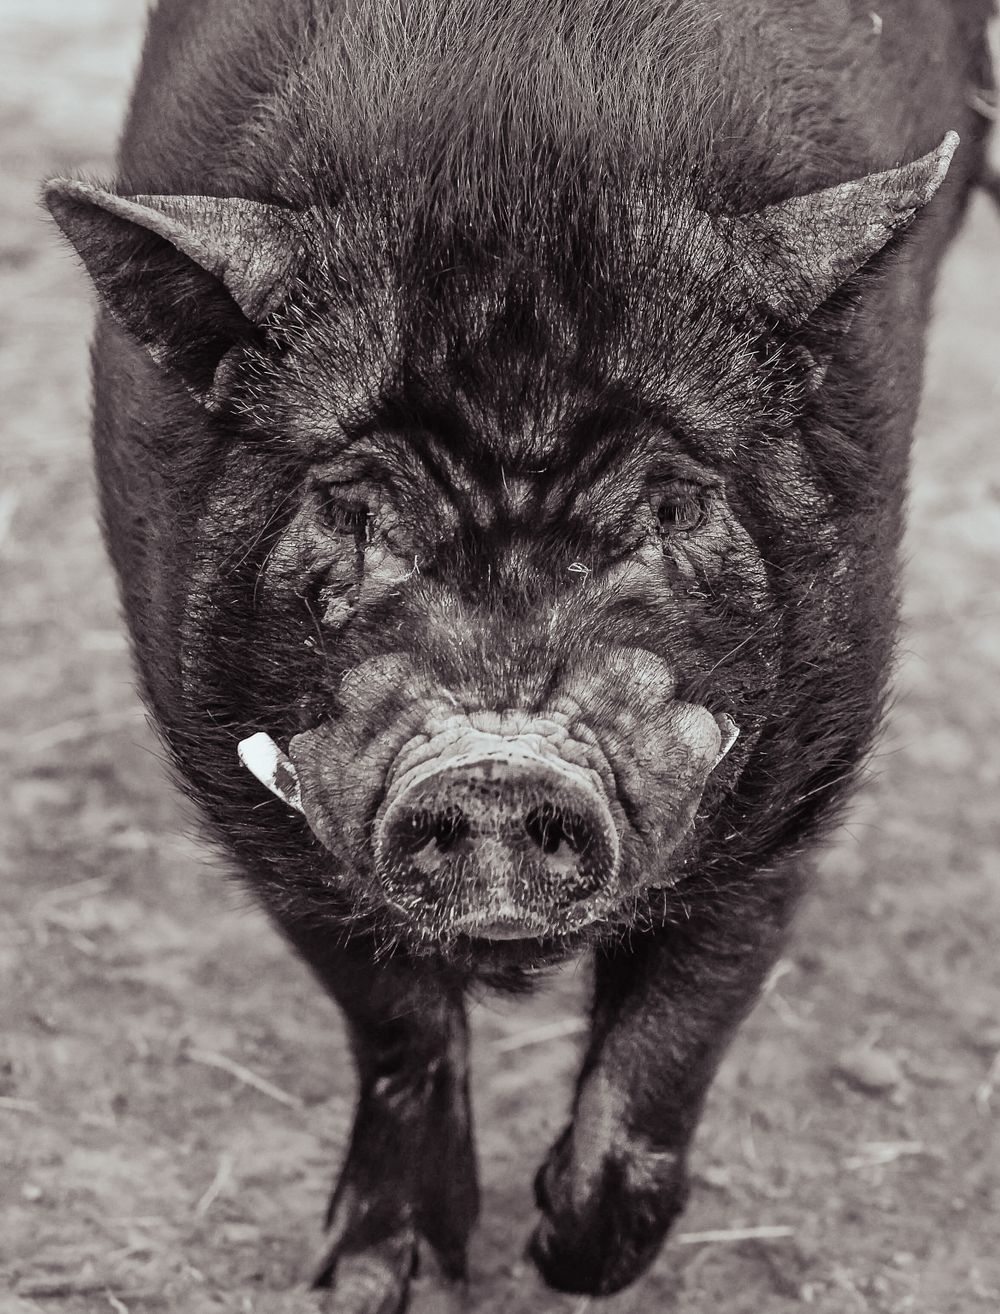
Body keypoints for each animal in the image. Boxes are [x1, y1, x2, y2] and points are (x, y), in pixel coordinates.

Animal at [45, 0, 996, 1306]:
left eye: (672, 502)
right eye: (350, 506)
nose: (498, 764)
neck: (512, 146)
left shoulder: (809, 751)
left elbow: (685, 1014)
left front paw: (566, 1251)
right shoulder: (228, 765)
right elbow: (392, 1014)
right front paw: (373, 1283)